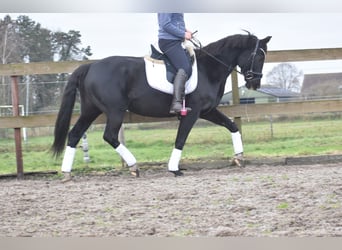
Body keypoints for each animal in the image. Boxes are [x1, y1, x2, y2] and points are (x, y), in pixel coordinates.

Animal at [52, 33, 272, 182]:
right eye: (260, 57)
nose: (255, 84)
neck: (208, 69)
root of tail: (91, 66)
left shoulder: (208, 111)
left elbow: (232, 126)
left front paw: (239, 157)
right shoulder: (192, 113)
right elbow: (181, 139)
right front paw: (174, 168)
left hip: (91, 110)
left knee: (74, 134)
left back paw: (66, 173)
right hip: (115, 111)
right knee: (110, 136)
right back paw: (134, 166)